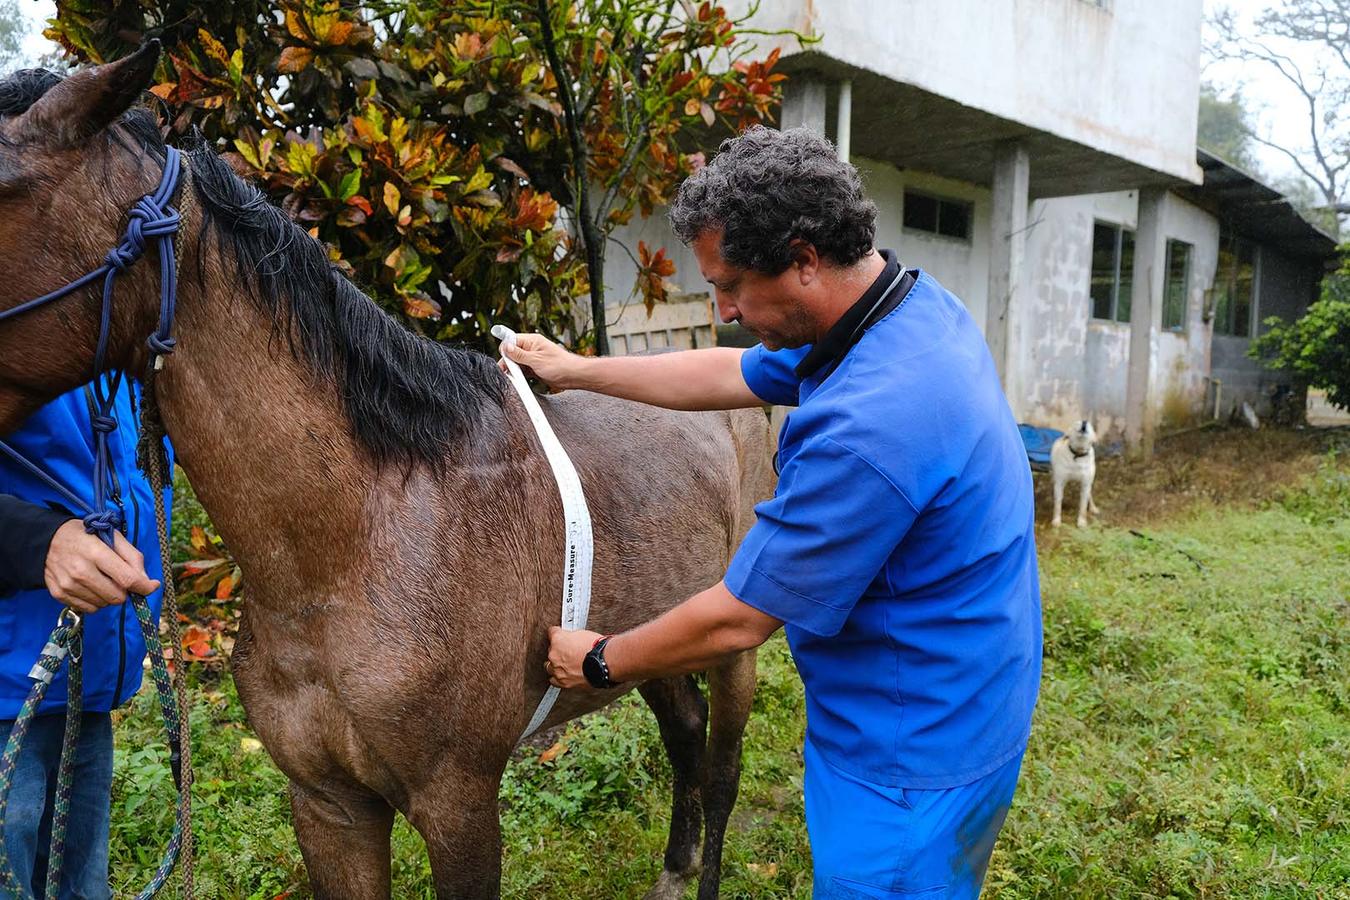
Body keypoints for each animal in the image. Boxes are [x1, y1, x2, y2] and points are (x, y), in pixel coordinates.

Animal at [0, 46, 775, 899]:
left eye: (2, 188)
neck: (361, 540)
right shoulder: (328, 805)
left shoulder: (458, 803)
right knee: (686, 734)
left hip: (732, 644)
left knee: (723, 766)